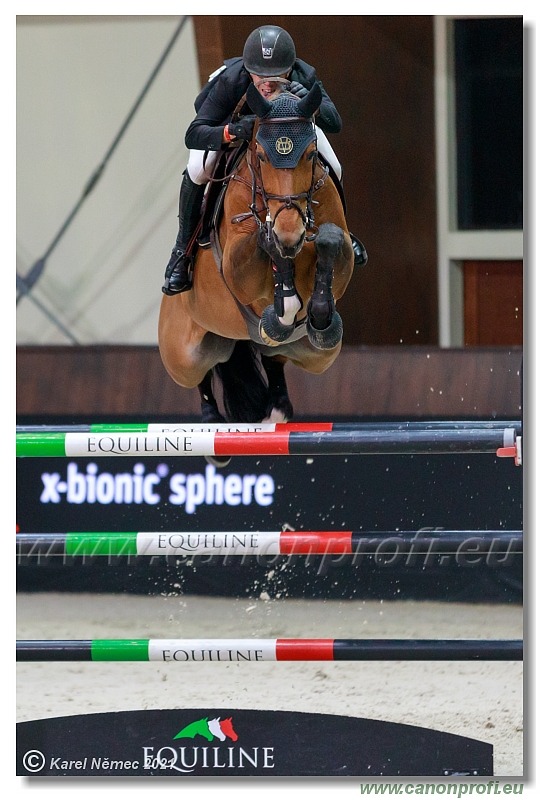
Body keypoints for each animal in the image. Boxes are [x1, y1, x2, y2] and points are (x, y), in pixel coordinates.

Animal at [159, 80, 354, 428]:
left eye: (310, 154)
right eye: (261, 156)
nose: (289, 234)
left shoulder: (338, 250)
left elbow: (330, 241)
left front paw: (315, 311)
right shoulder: (238, 269)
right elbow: (265, 252)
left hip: (318, 355)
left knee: (274, 356)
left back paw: (277, 406)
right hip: (183, 353)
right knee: (201, 376)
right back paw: (211, 420)